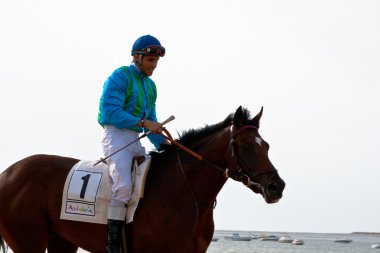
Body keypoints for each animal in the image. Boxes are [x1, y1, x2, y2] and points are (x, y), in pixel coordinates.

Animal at [0, 105, 284, 252]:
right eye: (245, 147)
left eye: (267, 146)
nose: (276, 186)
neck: (186, 194)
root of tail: (8, 173)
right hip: (28, 239)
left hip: (61, 239)